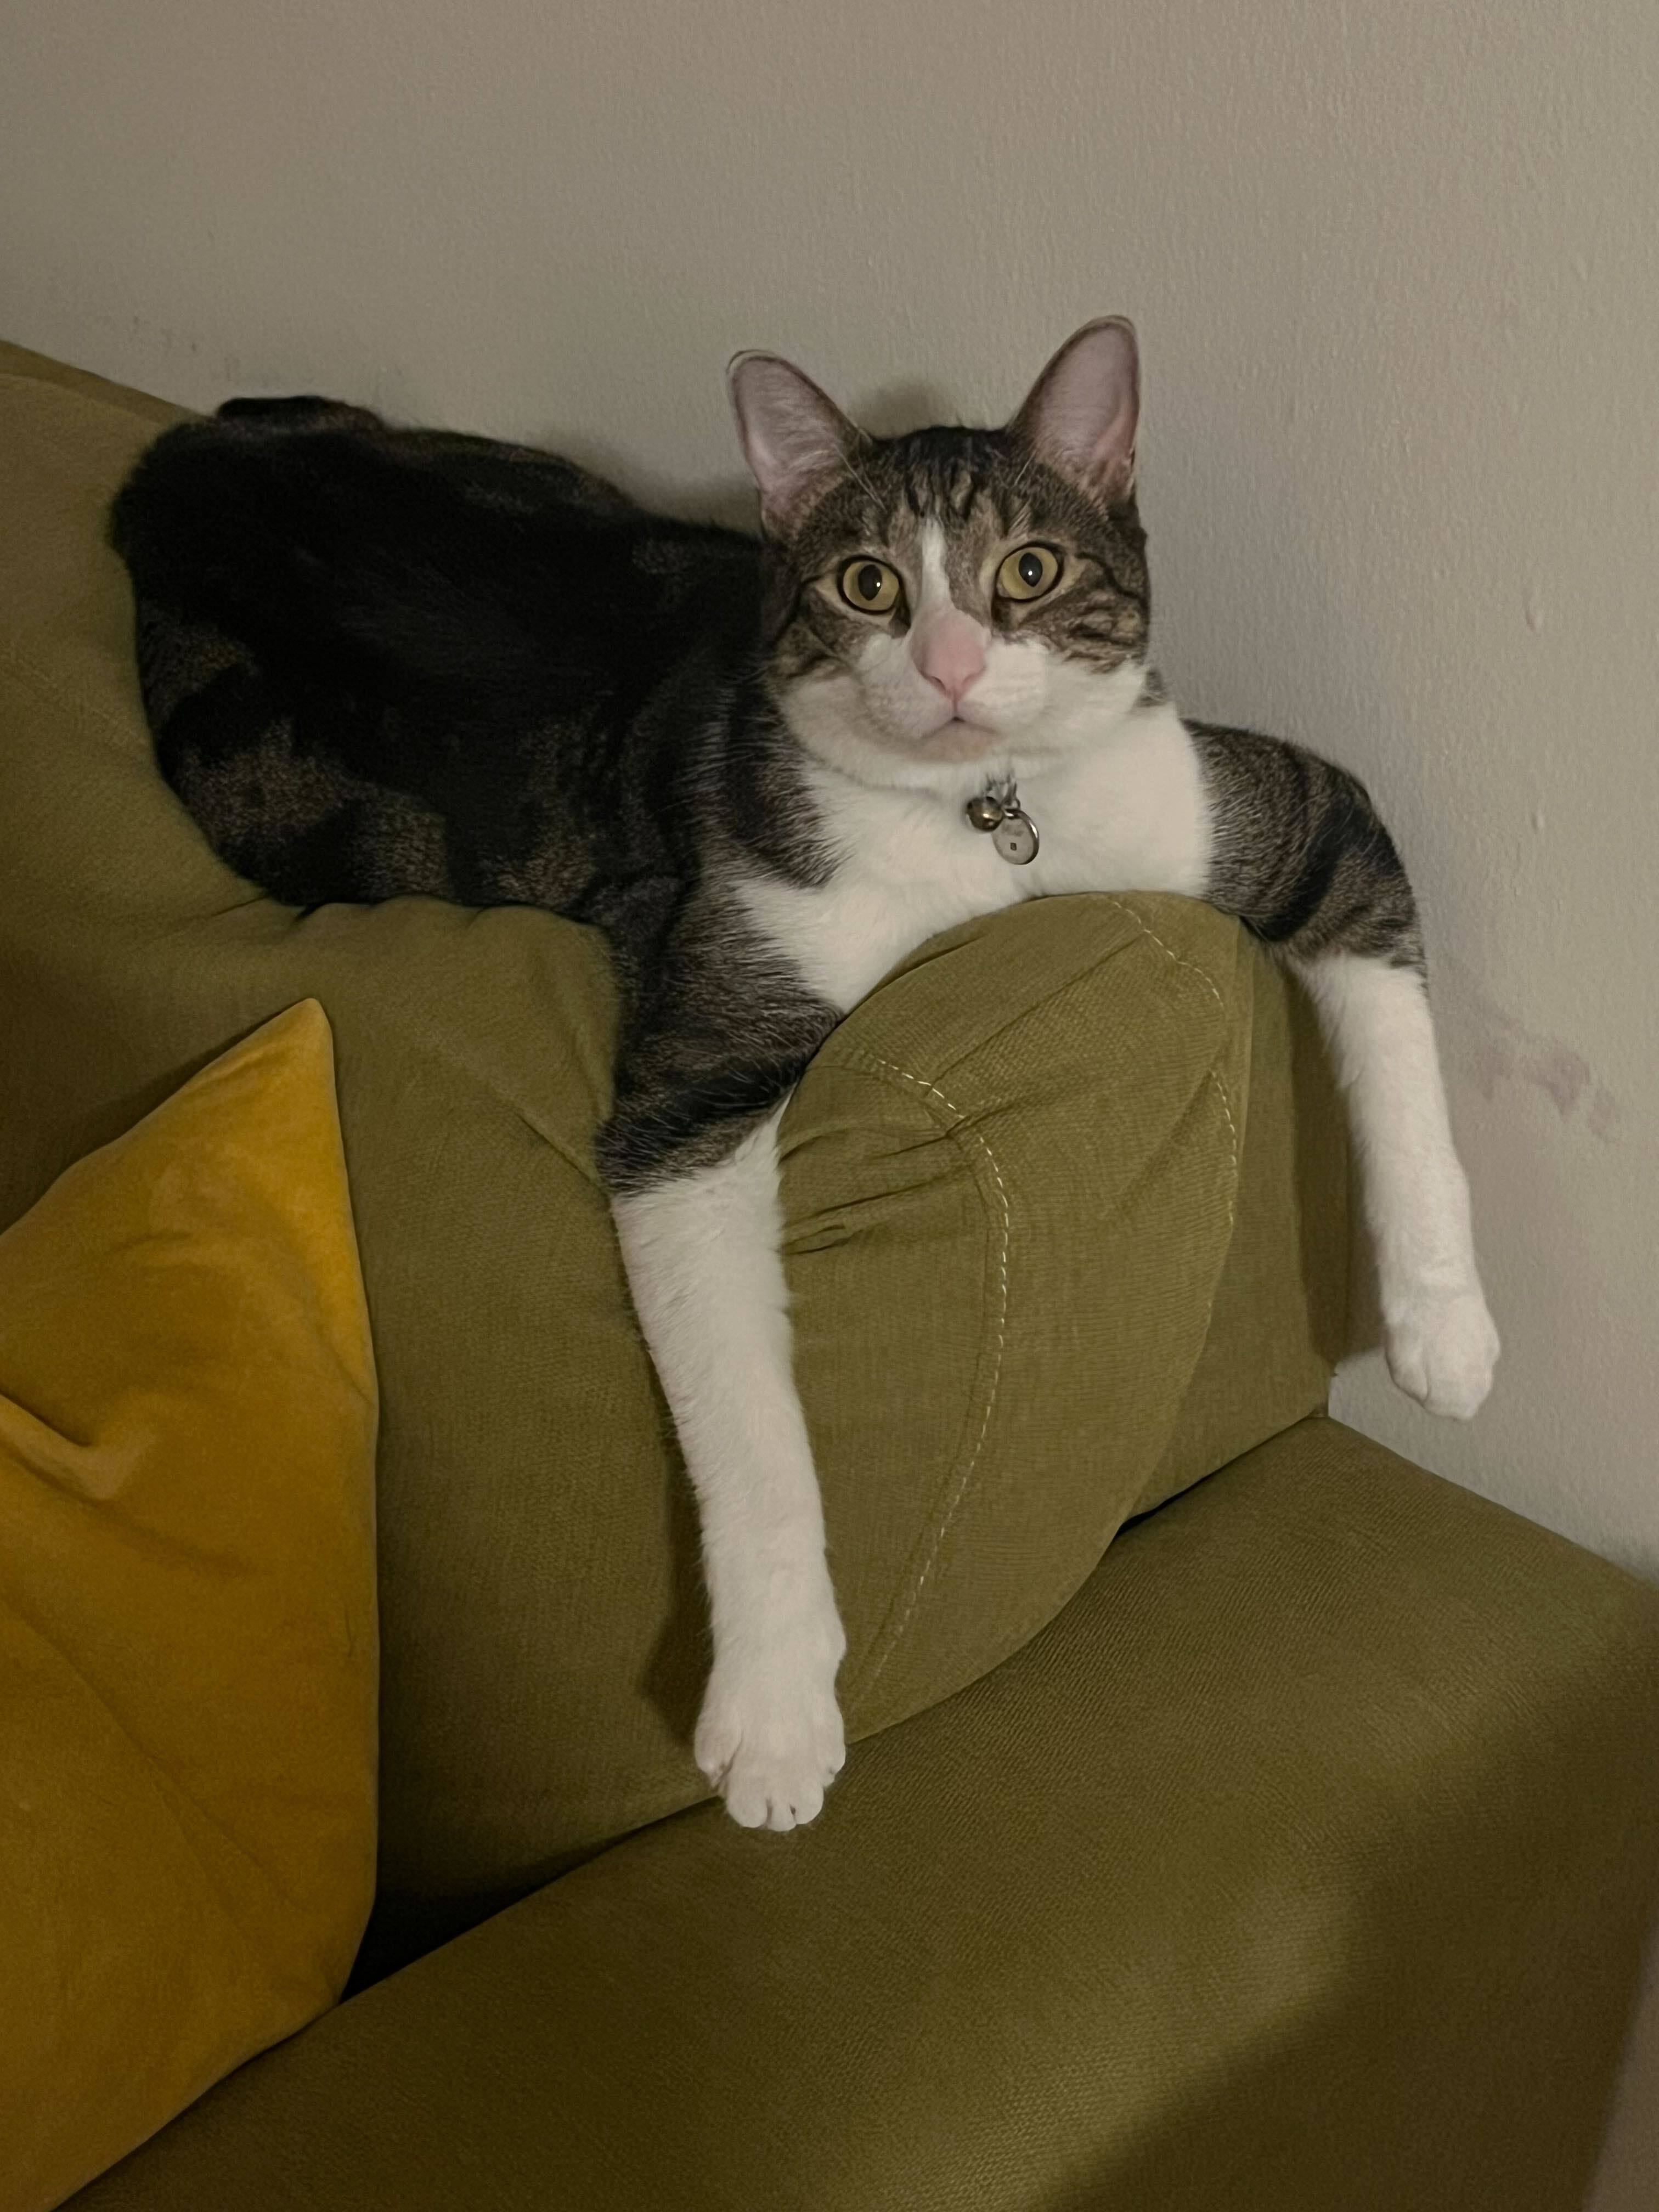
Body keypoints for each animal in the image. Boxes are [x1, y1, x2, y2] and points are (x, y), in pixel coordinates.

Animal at [110, 316, 1504, 1831]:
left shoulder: (1257, 812)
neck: (983, 822)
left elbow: (1392, 1022)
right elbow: (745, 1403)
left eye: (1030, 570)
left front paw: (1445, 1336)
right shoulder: (703, 1061)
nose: (949, 668)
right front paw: (777, 1715)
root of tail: (187, 458)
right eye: (867, 584)